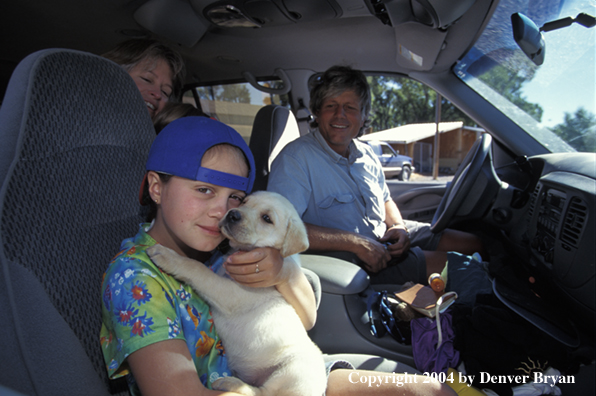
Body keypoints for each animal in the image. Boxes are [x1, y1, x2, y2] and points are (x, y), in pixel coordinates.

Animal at [148, 190, 326, 396]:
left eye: (267, 218)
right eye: (244, 202)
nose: (233, 214)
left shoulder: (231, 293)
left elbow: (198, 269)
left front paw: (168, 256)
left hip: (294, 370)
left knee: (262, 392)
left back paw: (230, 383)